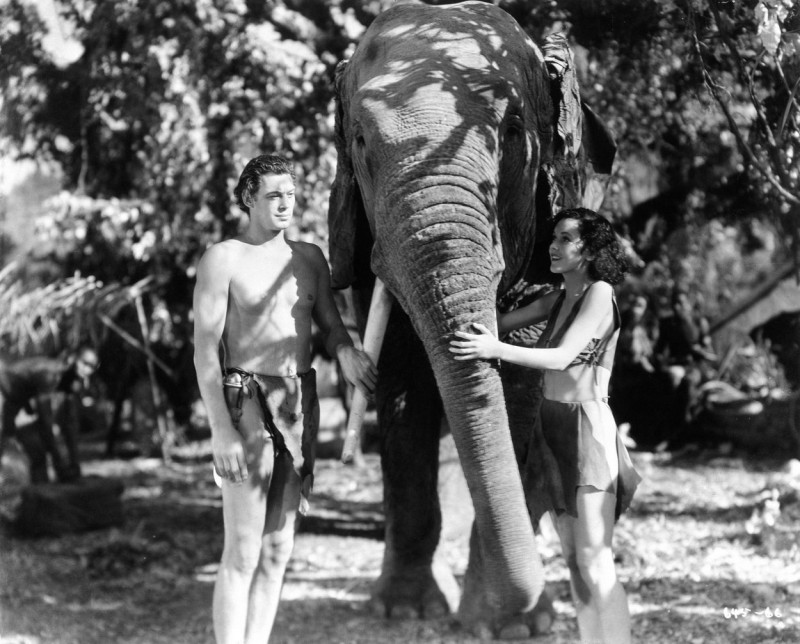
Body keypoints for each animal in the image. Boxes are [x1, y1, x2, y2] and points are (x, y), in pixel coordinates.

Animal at [328, 0, 616, 632]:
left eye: (511, 131)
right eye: (358, 140)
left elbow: (521, 384)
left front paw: (511, 627)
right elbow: (402, 384)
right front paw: (402, 612)